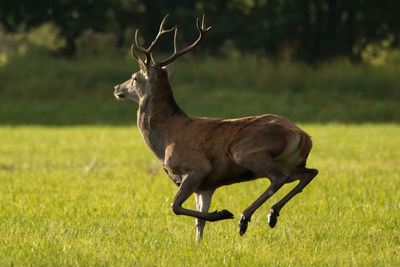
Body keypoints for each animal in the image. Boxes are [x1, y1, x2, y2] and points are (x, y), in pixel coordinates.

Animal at [113, 14, 318, 241]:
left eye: (134, 77)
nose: (117, 88)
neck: (166, 138)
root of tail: (303, 136)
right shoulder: (206, 187)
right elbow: (198, 221)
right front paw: (198, 243)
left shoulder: (198, 167)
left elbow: (175, 206)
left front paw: (222, 213)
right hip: (291, 161)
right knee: (308, 173)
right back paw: (272, 214)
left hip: (247, 152)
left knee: (279, 178)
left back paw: (245, 218)